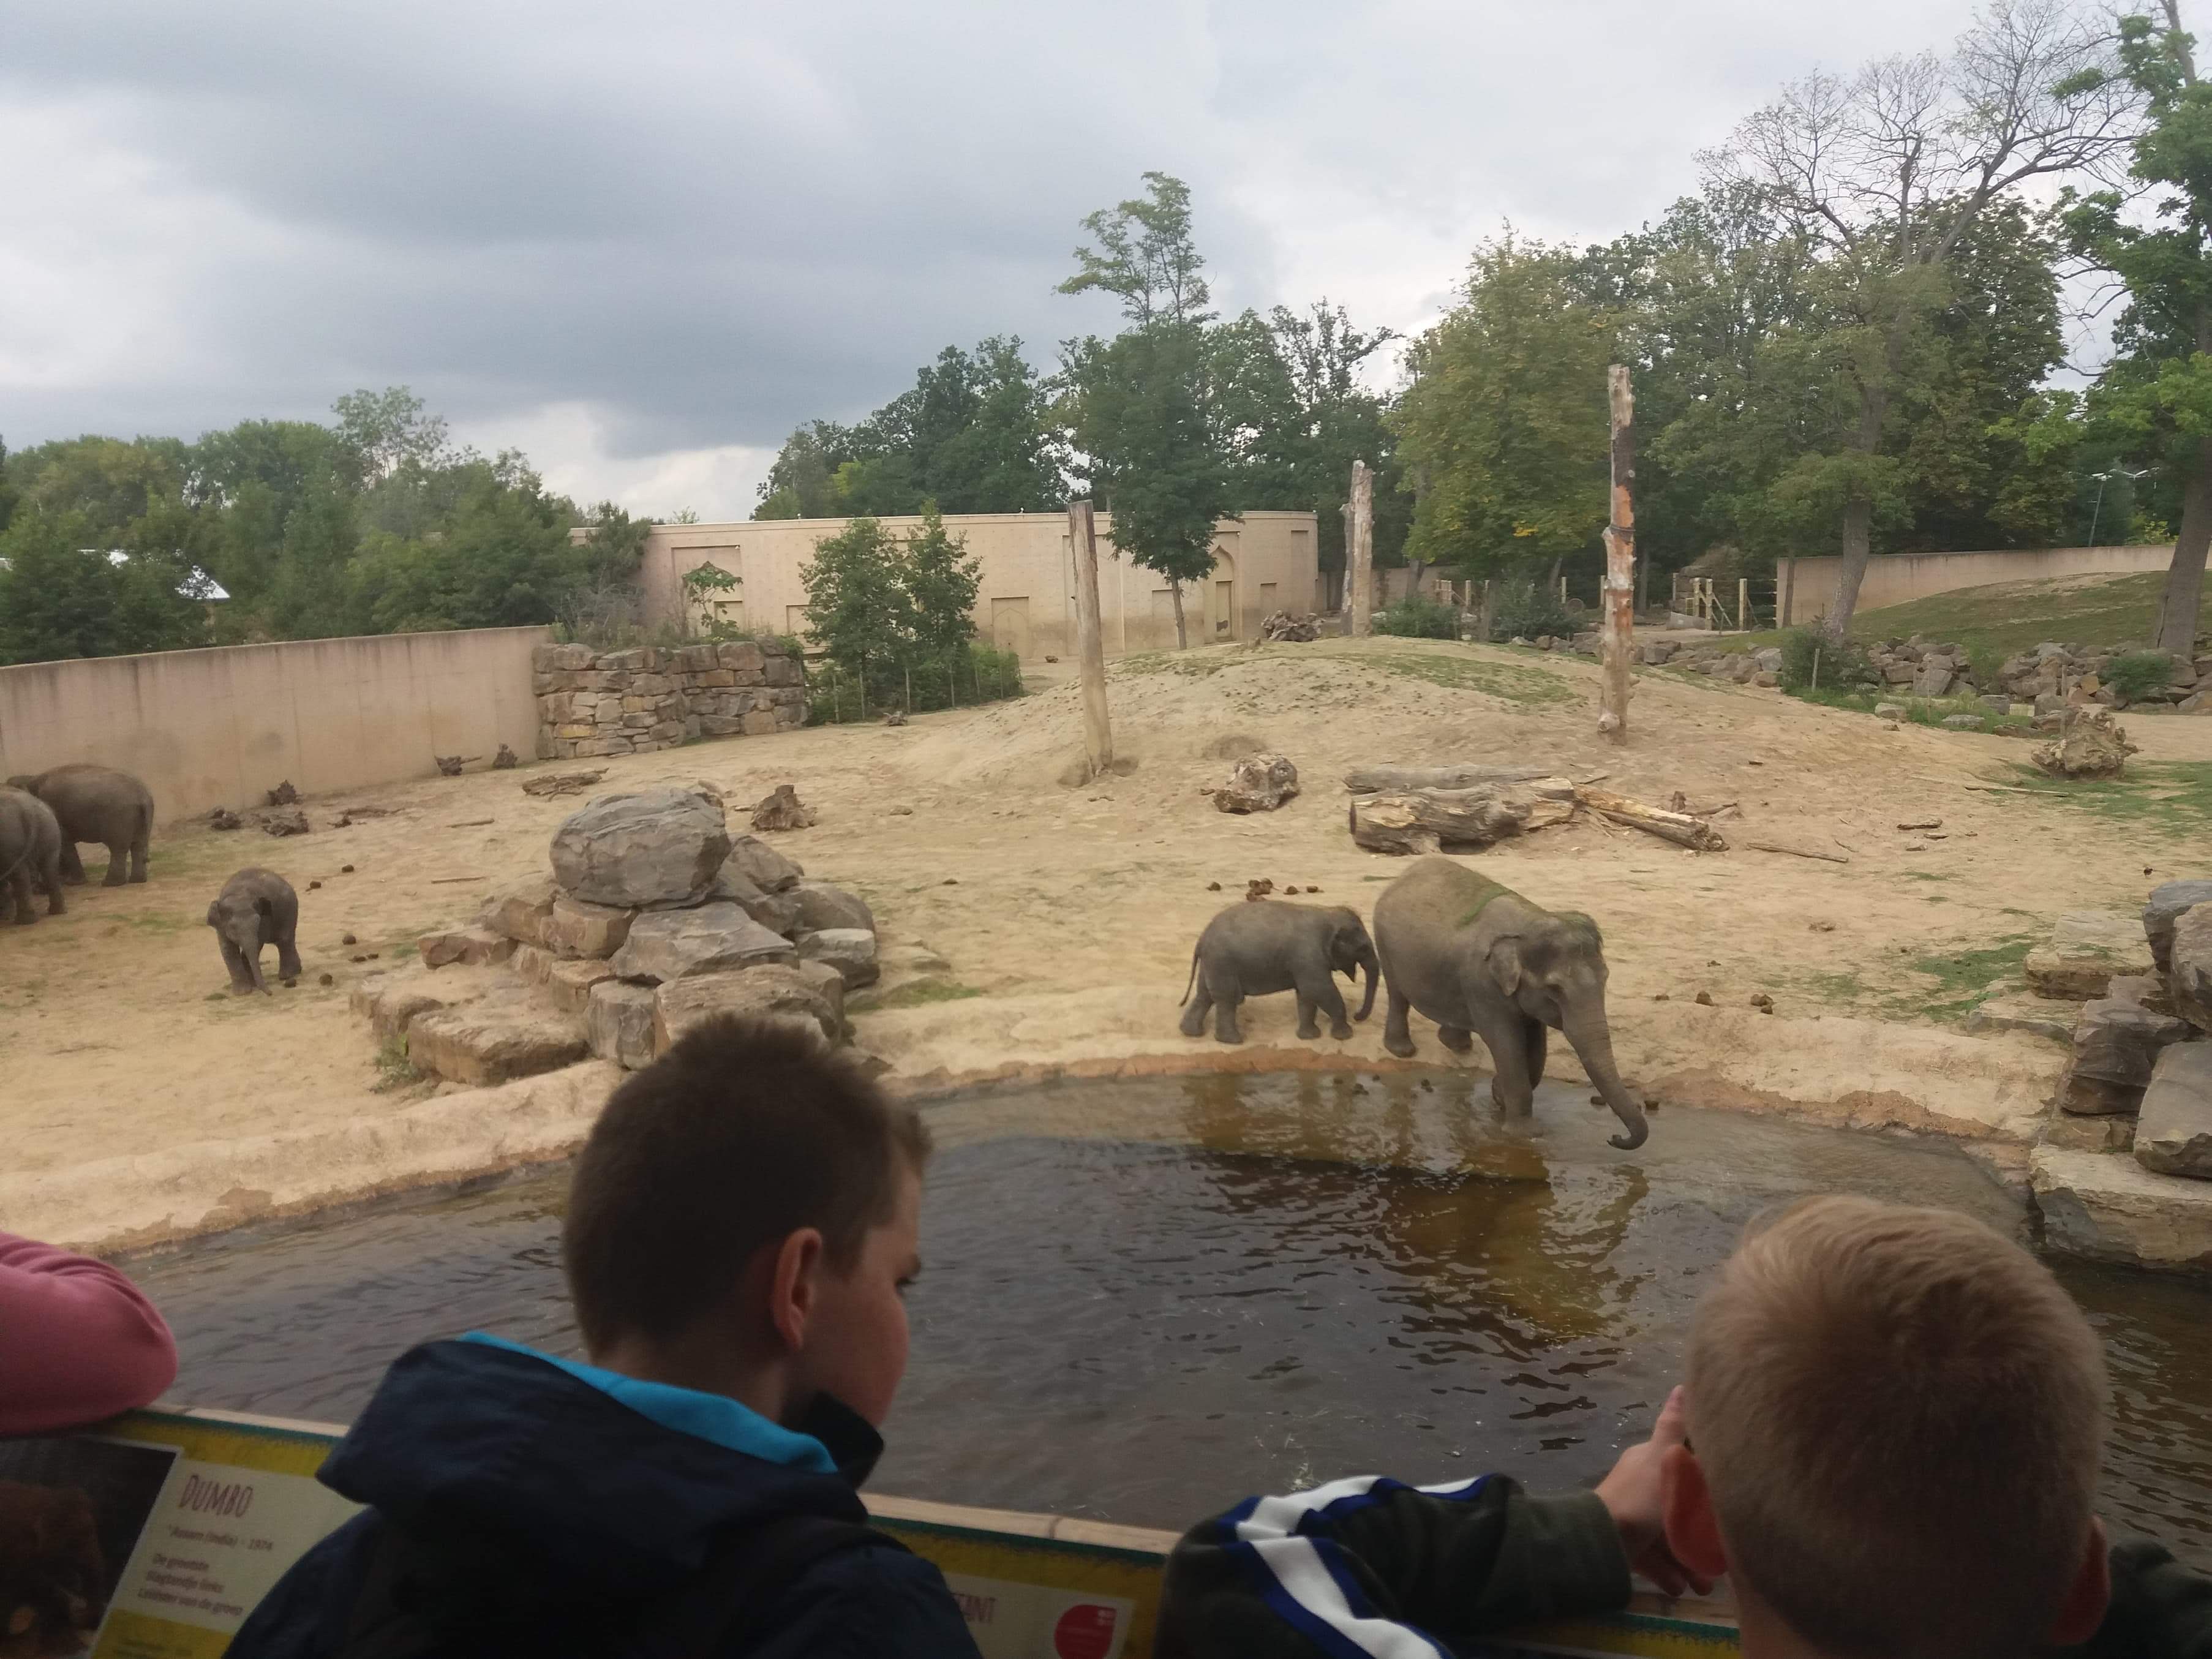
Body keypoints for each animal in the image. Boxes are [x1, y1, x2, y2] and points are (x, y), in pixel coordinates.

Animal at [0, 787, 67, 925]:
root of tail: (26, 809)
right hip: (49, 828)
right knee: (49, 868)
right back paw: (57, 911)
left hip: (10, 838)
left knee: (19, 874)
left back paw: (23, 921)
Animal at [6, 764, 154, 886]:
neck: (31, 779)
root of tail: (142, 795)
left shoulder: (54, 810)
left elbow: (63, 843)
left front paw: (72, 883)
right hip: (137, 818)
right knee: (138, 846)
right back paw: (137, 880)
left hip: (119, 817)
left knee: (118, 849)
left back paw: (110, 883)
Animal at [208, 868, 302, 995]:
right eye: (232, 927)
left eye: (257, 923)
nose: (271, 993)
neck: (239, 895)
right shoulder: (221, 926)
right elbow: (228, 950)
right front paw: (243, 992)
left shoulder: (264, 920)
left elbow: (256, 946)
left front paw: (249, 988)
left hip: (289, 910)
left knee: (284, 940)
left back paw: (286, 976)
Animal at [1179, 901, 1379, 1044]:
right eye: (1363, 948)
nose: (1357, 1016)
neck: (1327, 913)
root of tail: (1201, 939)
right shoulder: (1308, 956)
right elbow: (1319, 990)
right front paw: (1345, 1036)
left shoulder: (1306, 963)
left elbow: (1306, 995)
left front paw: (1310, 1037)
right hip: (1222, 963)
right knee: (1227, 999)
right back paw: (1234, 1041)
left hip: (1211, 964)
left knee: (1205, 996)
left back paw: (1191, 1033)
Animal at [1371, 856, 1648, 1150]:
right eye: (1554, 989)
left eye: (1606, 977)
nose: (1614, 1137)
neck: (1529, 924)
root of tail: (1405, 874)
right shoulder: (1482, 985)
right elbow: (1507, 1043)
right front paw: (1524, 1133)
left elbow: (1537, 1048)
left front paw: (1498, 1094)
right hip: (1383, 941)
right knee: (1396, 993)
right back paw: (1403, 1051)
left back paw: (1456, 1045)